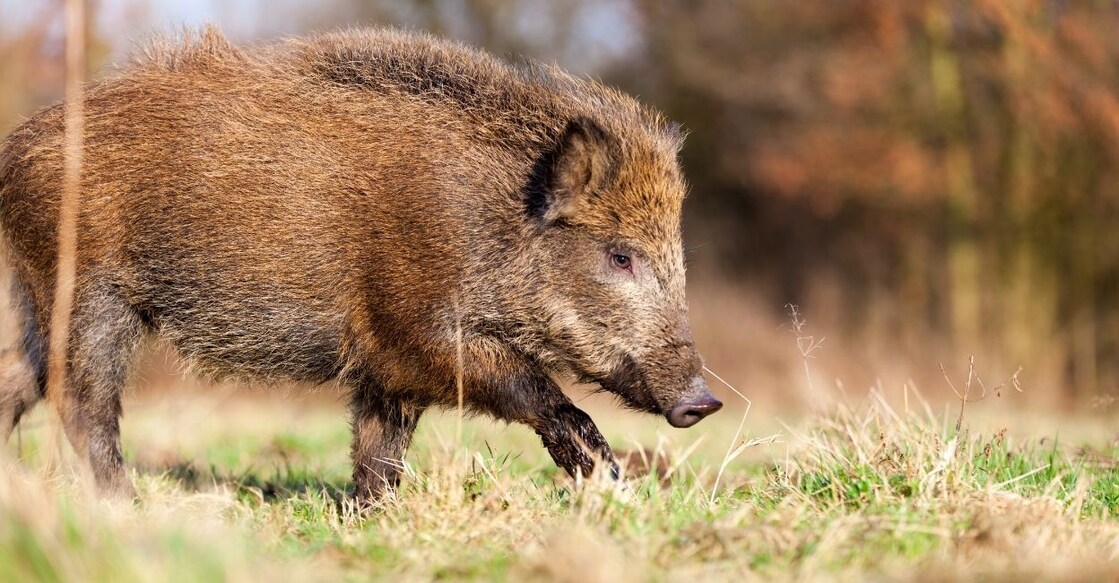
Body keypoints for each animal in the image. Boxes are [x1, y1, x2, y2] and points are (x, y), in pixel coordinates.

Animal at [0, 26, 721, 501]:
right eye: (619, 255)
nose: (703, 400)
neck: (489, 222)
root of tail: (14, 153)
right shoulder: (414, 334)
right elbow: (540, 393)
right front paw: (613, 487)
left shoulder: (384, 369)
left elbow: (380, 449)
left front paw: (371, 514)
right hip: (88, 291)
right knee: (80, 399)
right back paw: (124, 506)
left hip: (43, 297)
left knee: (19, 378)